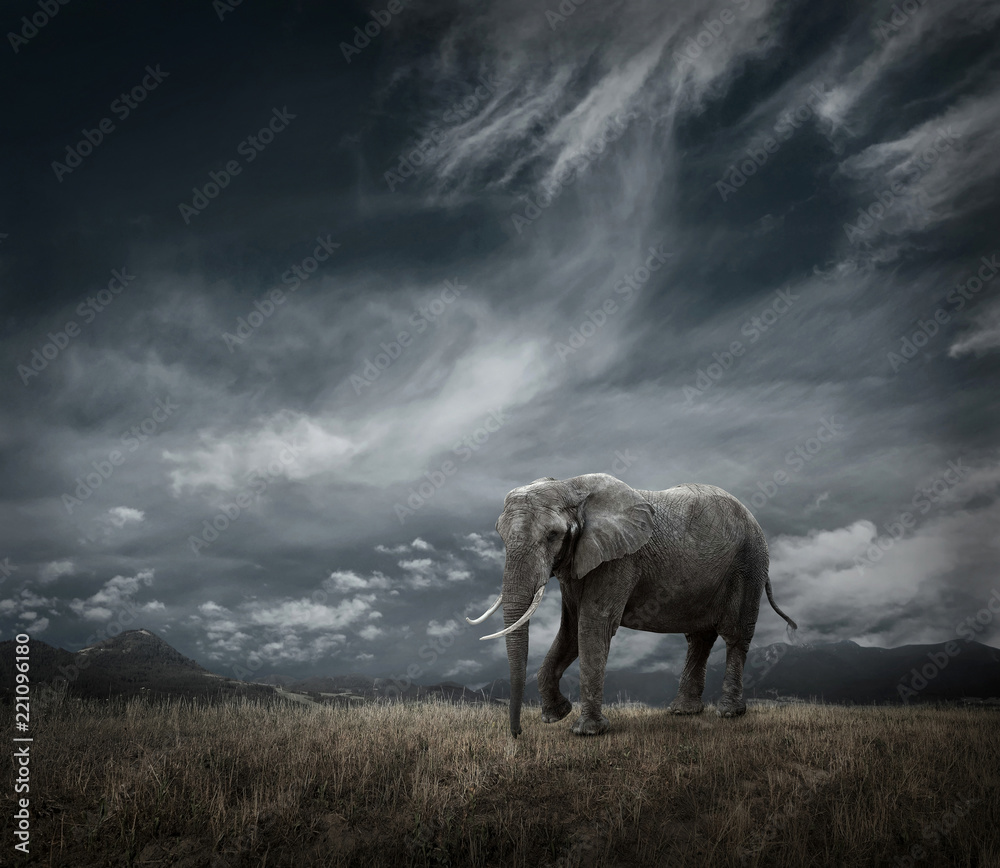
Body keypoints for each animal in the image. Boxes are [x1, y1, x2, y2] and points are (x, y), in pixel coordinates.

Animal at [466, 473, 797, 737]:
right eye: (500, 535)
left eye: (552, 535)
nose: (517, 734)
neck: (571, 486)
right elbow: (571, 630)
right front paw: (556, 716)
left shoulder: (619, 560)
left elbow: (592, 626)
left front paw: (587, 732)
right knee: (699, 638)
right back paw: (683, 711)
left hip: (748, 563)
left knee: (735, 636)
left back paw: (729, 713)